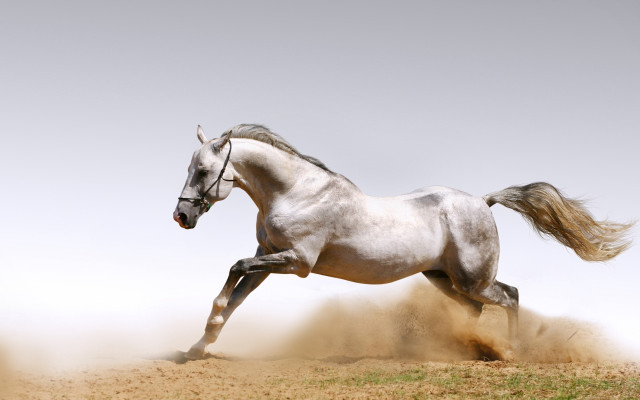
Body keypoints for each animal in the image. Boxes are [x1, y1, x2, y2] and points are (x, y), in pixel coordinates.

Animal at [173, 124, 633, 360]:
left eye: (203, 170)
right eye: (191, 168)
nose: (182, 216)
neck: (296, 192)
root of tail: (483, 201)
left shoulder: (296, 262)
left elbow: (233, 271)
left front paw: (204, 332)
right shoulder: (268, 255)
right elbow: (236, 296)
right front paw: (198, 346)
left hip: (473, 278)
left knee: (511, 296)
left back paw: (511, 351)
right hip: (442, 278)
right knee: (476, 309)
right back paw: (465, 349)